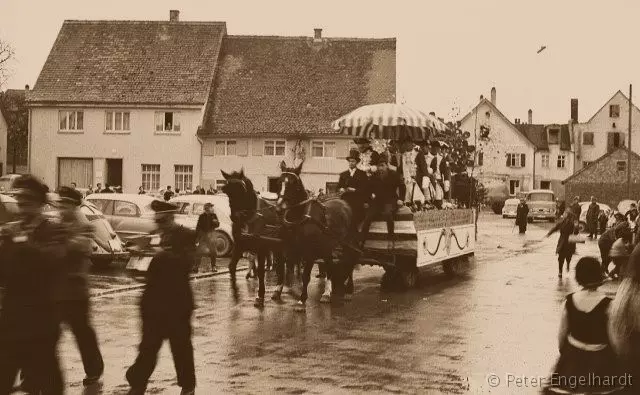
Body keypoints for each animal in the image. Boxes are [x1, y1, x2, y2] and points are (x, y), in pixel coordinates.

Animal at [219, 169, 292, 308]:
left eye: (241, 189)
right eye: (226, 190)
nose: (235, 217)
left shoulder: (261, 248)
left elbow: (261, 271)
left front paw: (260, 296)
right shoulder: (239, 246)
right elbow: (232, 267)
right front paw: (235, 294)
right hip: (277, 247)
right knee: (280, 265)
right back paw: (277, 290)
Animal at [276, 161, 358, 312]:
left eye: (294, 183)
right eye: (279, 182)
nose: (279, 208)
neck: (299, 219)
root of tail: (343, 202)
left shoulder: (309, 252)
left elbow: (305, 276)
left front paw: (301, 300)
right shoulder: (290, 250)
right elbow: (286, 272)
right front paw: (286, 290)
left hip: (348, 242)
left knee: (350, 260)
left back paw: (349, 290)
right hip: (327, 245)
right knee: (329, 263)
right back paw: (326, 293)